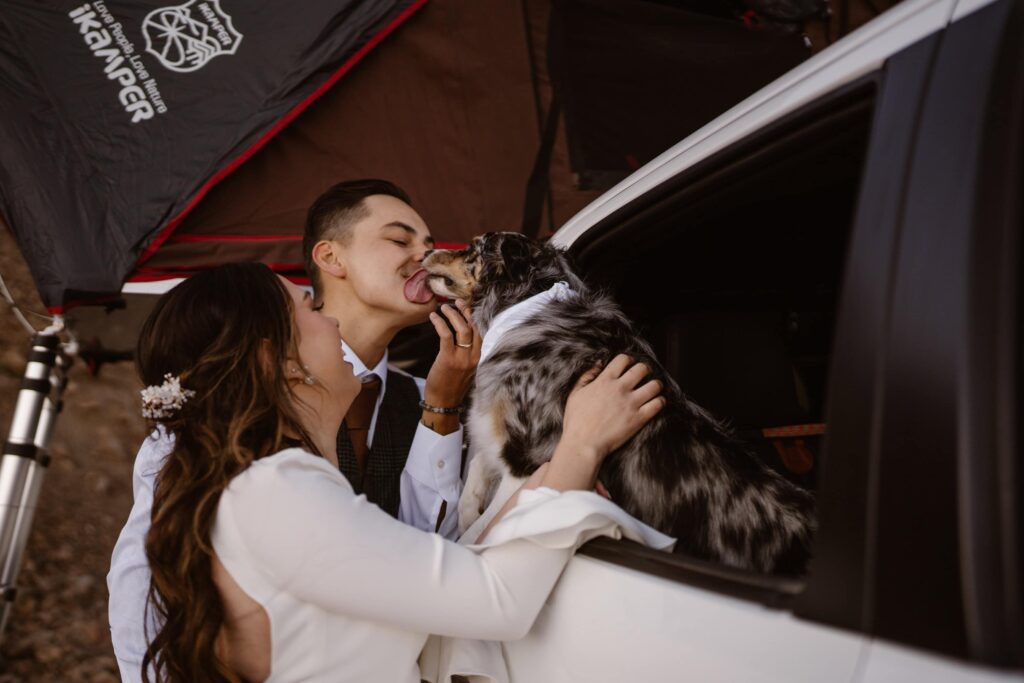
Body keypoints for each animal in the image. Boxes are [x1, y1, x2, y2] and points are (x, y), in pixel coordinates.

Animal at [421, 232, 815, 573]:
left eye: (473, 248)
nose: (427, 250)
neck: (525, 307)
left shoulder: (524, 461)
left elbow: (480, 533)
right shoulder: (497, 438)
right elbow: (475, 479)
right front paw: (467, 510)